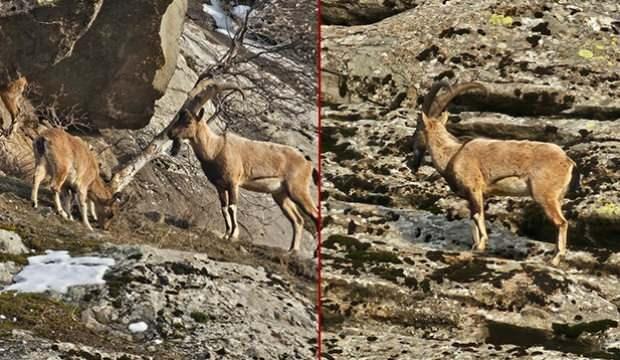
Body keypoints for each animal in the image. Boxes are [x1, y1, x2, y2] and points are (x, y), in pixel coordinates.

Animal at [166, 79, 318, 253]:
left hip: (298, 189)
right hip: (280, 194)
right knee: (298, 220)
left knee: (314, 214)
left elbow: (232, 207)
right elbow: (224, 208)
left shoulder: (233, 183)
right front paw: (225, 235)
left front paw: (233, 236)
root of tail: (308, 161)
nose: (170, 133)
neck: (216, 149)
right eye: (179, 118)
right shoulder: (219, 186)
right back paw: (292, 250)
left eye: (188, 121)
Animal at [410, 82, 580, 268]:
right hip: (558, 197)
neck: (453, 154)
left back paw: (555, 259)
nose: (413, 152)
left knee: (562, 223)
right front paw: (475, 246)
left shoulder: (474, 188)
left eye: (418, 128)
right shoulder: (475, 195)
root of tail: (568, 161)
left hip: (545, 195)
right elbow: (473, 218)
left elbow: (478, 215)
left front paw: (481, 245)